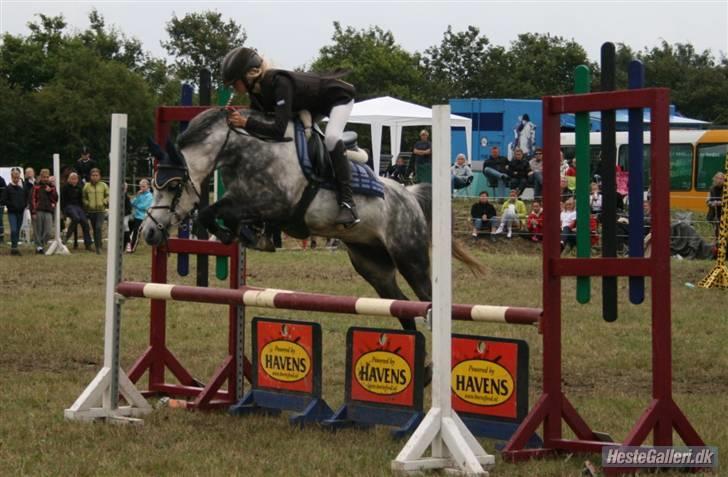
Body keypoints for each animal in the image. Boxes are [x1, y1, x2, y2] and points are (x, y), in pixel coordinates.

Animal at [142, 108, 485, 334]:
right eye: (154, 184)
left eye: (173, 186)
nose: (148, 233)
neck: (245, 151)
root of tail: (410, 196)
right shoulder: (251, 203)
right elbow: (217, 212)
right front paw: (242, 234)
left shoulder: (275, 203)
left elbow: (213, 211)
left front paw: (234, 234)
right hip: (372, 265)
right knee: (402, 308)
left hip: (410, 258)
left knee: (427, 300)